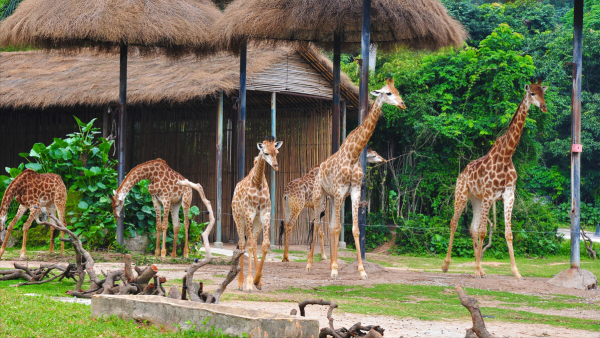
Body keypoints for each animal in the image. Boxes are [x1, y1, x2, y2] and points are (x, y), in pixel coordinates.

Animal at [232, 136, 284, 292]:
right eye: (265, 152)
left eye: (276, 152)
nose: (276, 165)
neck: (258, 182)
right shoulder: (249, 212)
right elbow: (248, 246)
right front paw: (249, 284)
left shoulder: (265, 214)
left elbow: (265, 245)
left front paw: (257, 280)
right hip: (239, 217)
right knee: (243, 243)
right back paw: (240, 283)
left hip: (257, 221)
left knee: (254, 242)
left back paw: (257, 282)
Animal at [312, 80, 406, 280]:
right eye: (388, 93)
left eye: (397, 91)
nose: (402, 104)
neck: (354, 154)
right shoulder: (340, 190)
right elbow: (338, 228)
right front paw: (334, 271)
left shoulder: (353, 191)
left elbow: (354, 229)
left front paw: (361, 271)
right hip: (320, 195)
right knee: (317, 223)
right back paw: (310, 265)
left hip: (332, 198)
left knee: (329, 226)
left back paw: (330, 263)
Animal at [440, 80, 548, 278]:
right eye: (532, 93)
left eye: (543, 93)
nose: (544, 107)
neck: (506, 155)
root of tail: (462, 173)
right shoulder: (490, 195)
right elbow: (484, 232)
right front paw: (475, 270)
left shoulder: (508, 195)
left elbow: (508, 233)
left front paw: (516, 272)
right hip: (462, 194)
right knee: (454, 223)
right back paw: (446, 265)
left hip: (476, 199)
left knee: (472, 227)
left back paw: (481, 269)